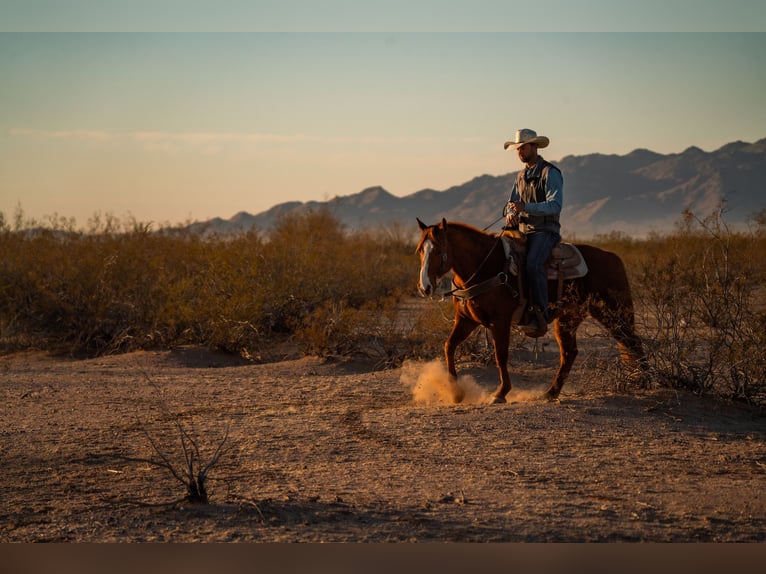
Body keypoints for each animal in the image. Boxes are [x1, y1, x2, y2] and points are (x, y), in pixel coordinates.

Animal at [420, 219, 648, 404]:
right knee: (570, 353)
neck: (485, 267)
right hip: (570, 318)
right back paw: (550, 393)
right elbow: (449, 346)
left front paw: (501, 393)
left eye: (438, 251)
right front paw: (456, 392)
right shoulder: (466, 319)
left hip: (612, 312)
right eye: (421, 251)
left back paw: (645, 381)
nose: (425, 287)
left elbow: (500, 355)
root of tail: (613, 257)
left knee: (632, 341)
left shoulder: (499, 321)